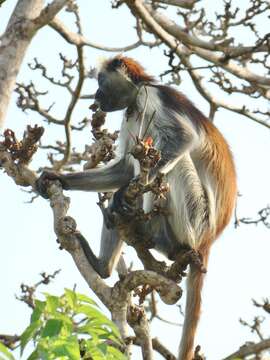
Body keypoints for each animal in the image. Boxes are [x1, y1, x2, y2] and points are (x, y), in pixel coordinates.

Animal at [37, 54, 236, 360]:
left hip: (196, 217)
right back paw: (104, 265)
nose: (96, 95)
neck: (136, 98)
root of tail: (208, 240)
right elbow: (123, 170)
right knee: (117, 207)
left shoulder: (152, 98)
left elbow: (184, 139)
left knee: (174, 167)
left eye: (101, 82)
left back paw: (163, 239)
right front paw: (58, 178)